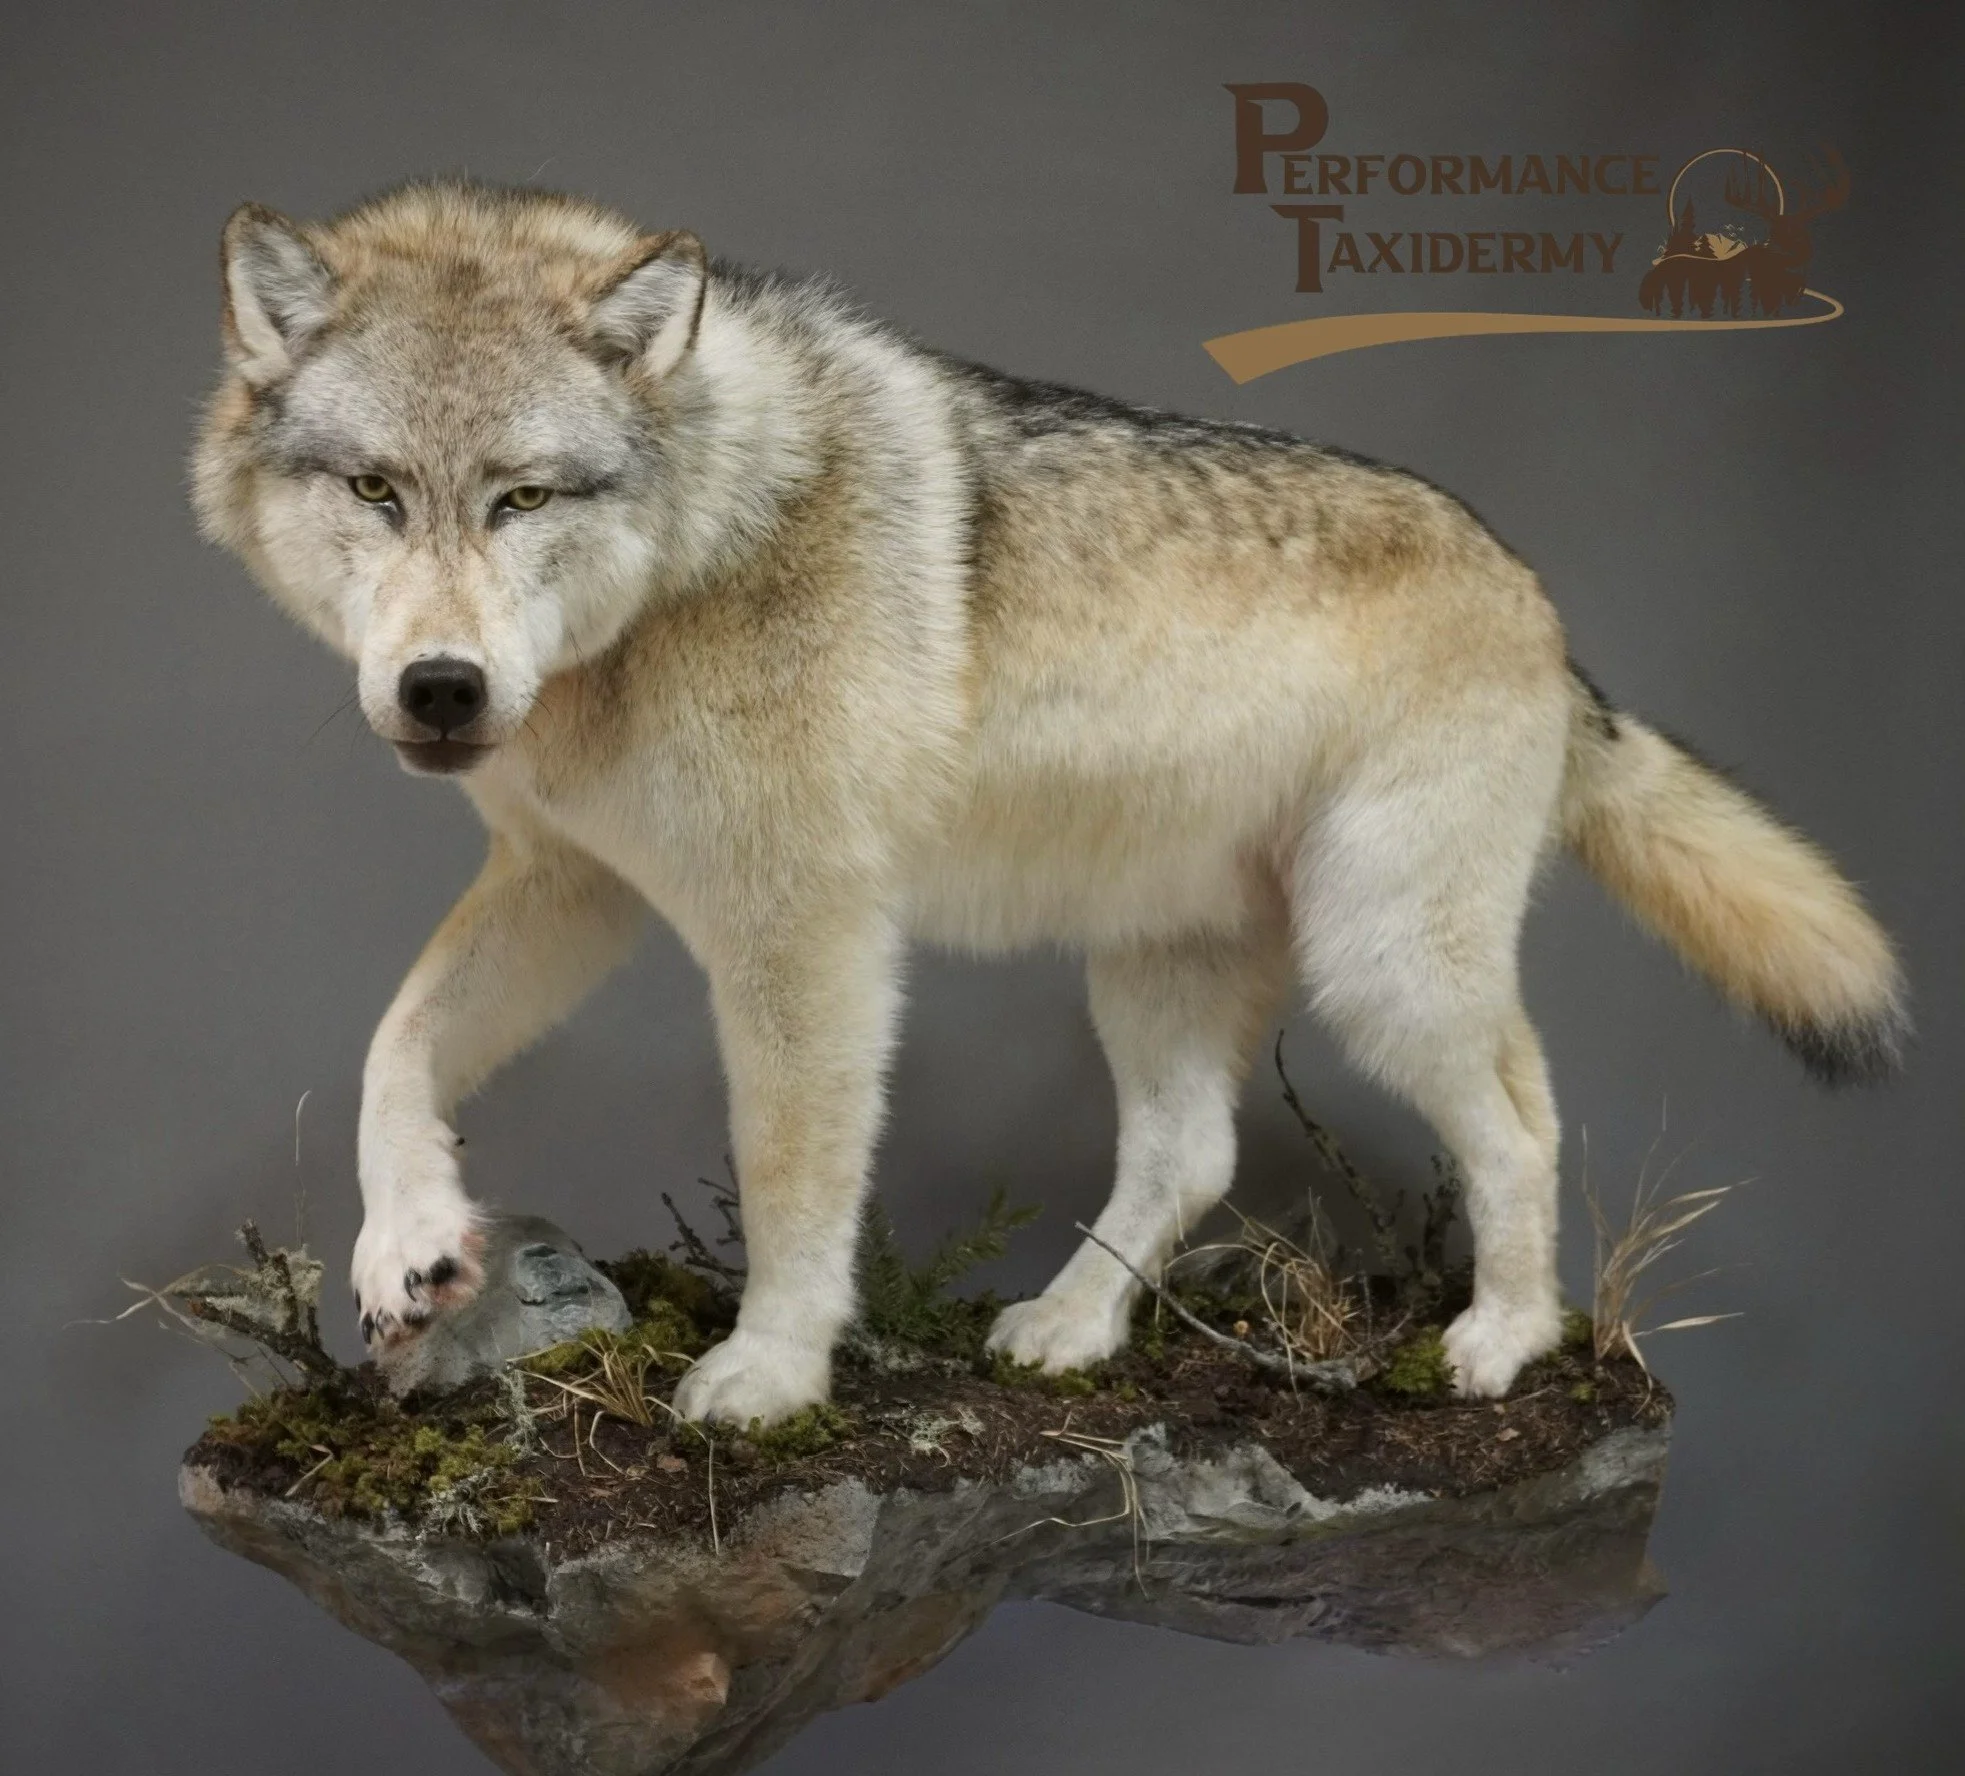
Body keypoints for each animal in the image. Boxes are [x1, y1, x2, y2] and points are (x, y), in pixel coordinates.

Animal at [191, 181, 1906, 1424]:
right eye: (376, 492)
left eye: (524, 497)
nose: (441, 690)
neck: (691, 559)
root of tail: (1542, 605)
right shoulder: (572, 884)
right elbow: (393, 1048)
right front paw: (409, 1246)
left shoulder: (805, 937)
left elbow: (793, 1179)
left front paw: (771, 1378)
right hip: (1158, 969)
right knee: (1193, 1159)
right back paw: (1073, 1329)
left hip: (1381, 971)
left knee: (1527, 1117)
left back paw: (1505, 1340)